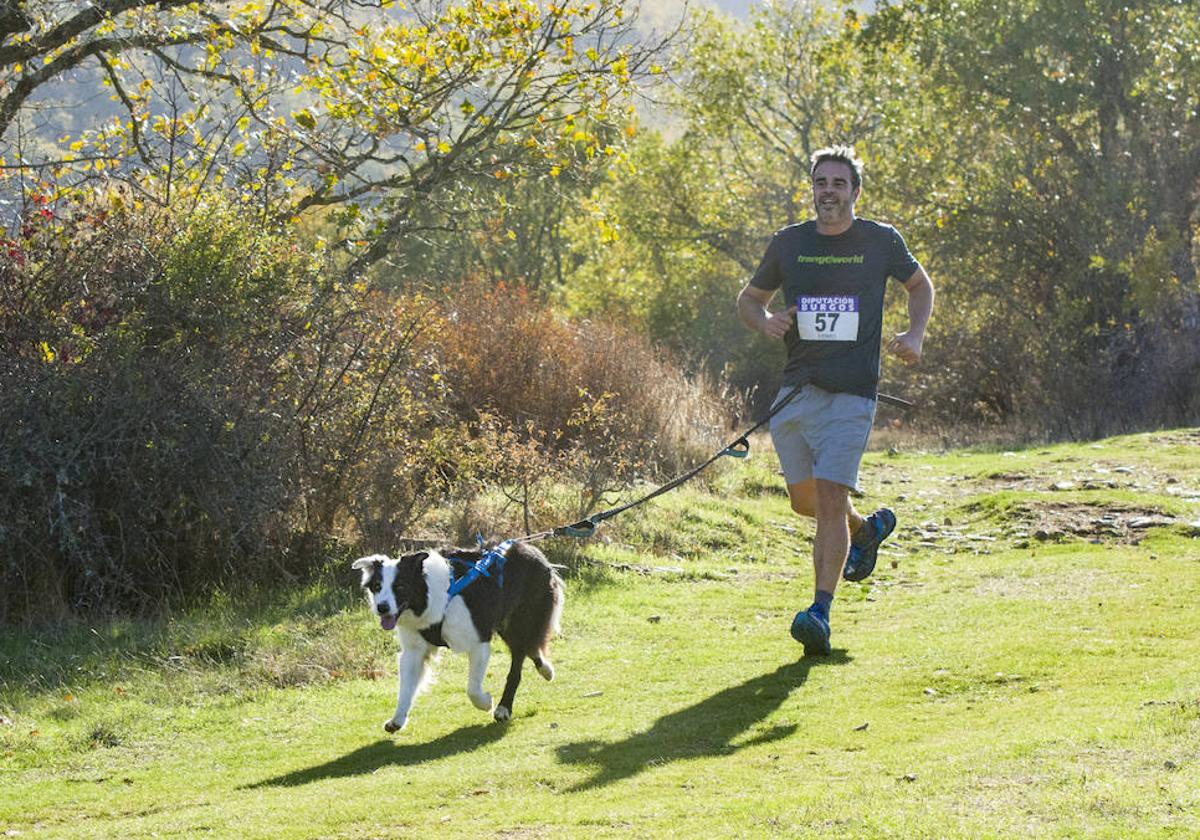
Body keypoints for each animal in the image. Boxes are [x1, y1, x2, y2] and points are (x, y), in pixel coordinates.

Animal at [352, 542, 564, 729]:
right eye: (377, 587)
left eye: (400, 587)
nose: (382, 607)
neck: (431, 597)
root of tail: (534, 550)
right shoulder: (413, 650)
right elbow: (405, 689)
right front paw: (397, 720)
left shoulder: (479, 640)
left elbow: (472, 689)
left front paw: (486, 703)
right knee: (529, 647)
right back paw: (546, 669)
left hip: (520, 619)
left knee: (518, 661)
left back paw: (504, 707)